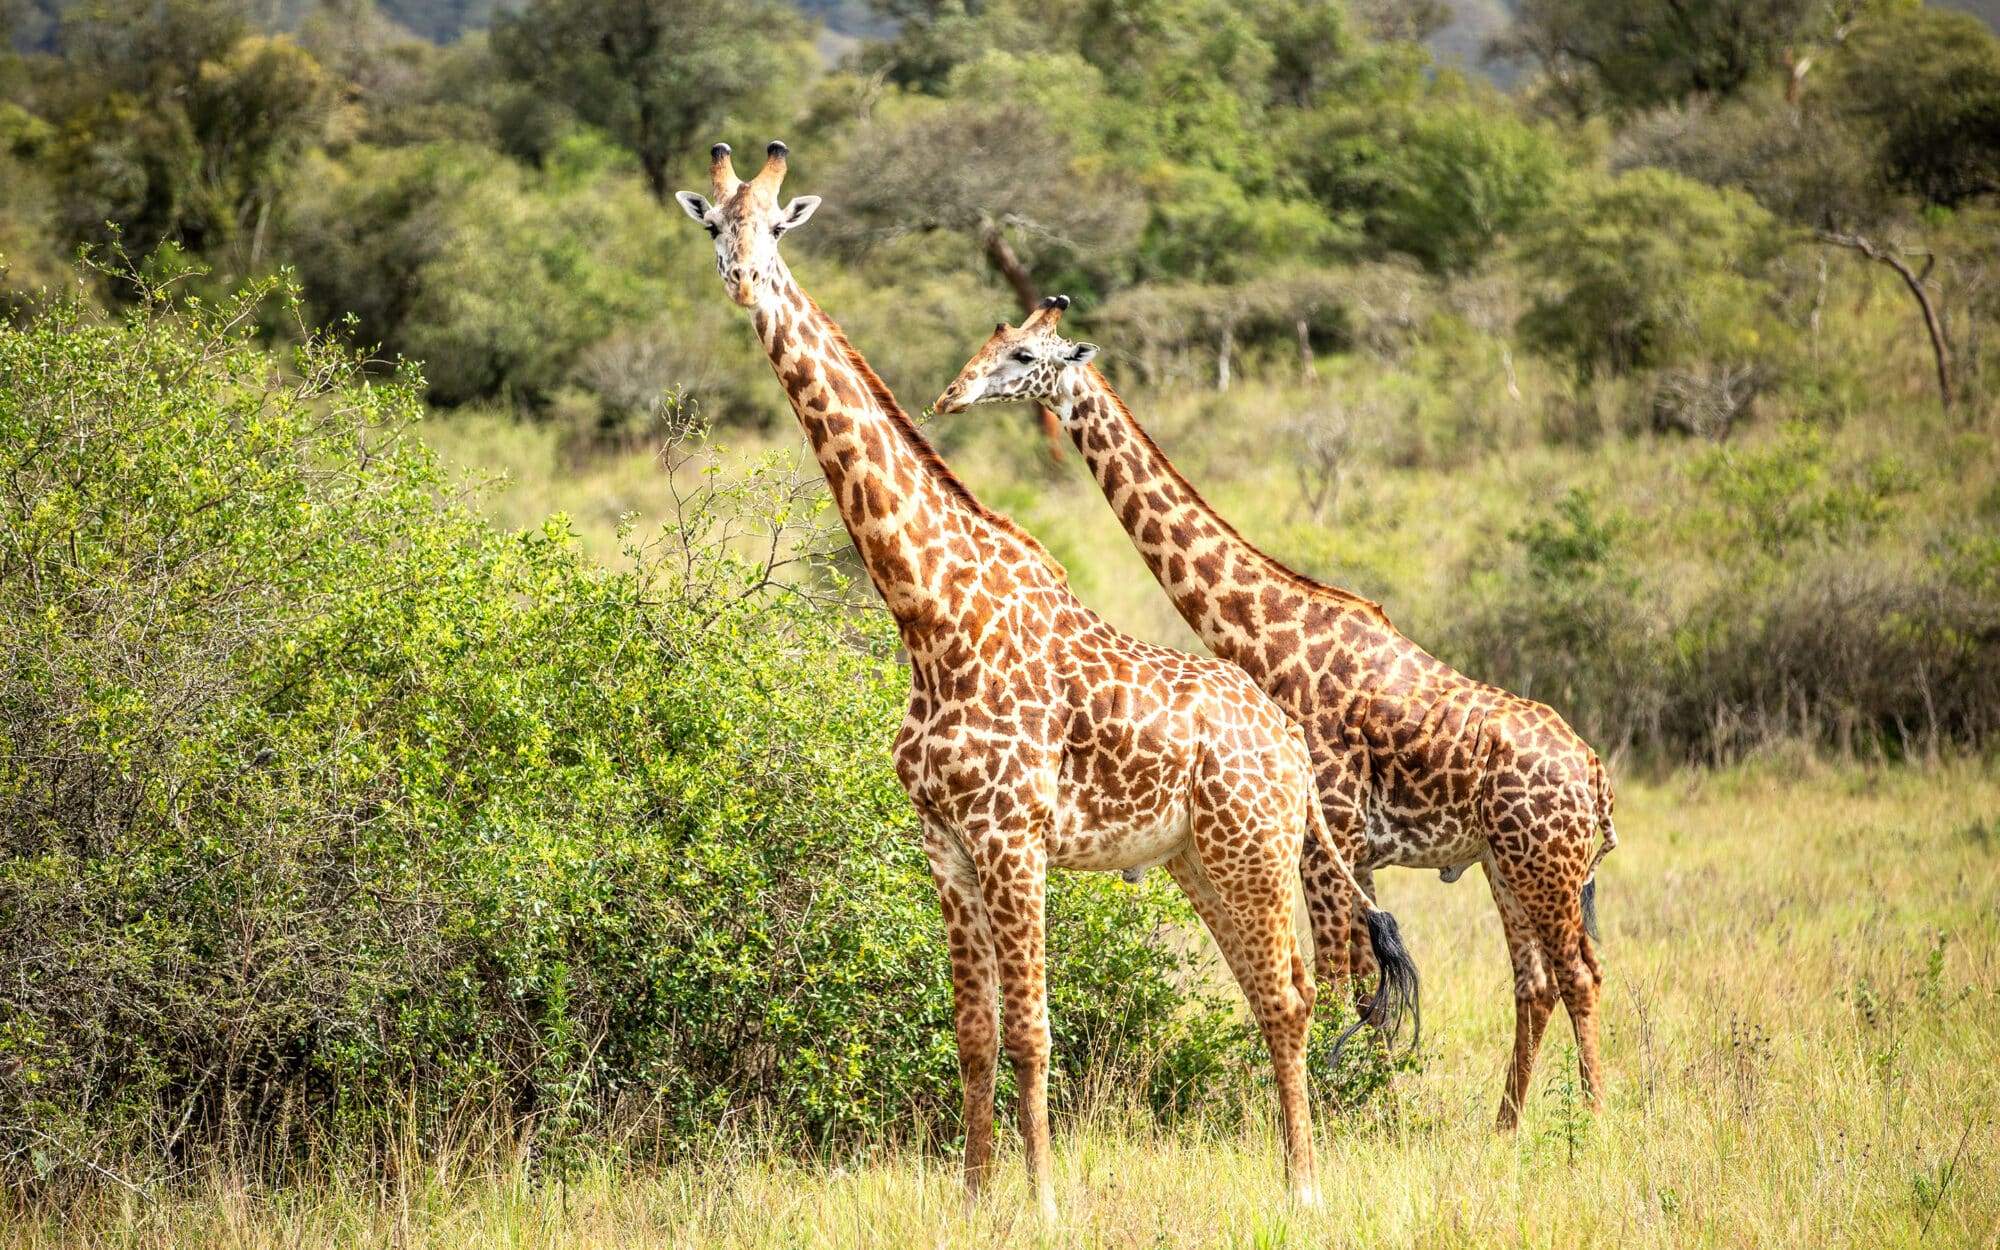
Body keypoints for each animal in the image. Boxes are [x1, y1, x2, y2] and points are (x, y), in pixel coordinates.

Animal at [674, 144, 1419, 1216]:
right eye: (712, 226)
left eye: (776, 228)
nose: (741, 280)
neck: (926, 611)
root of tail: (1283, 736)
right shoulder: (944, 843)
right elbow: (974, 1037)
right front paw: (975, 1197)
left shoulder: (1012, 839)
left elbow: (1032, 1034)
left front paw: (1041, 1200)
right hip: (1197, 860)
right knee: (1269, 991)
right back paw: (1289, 1174)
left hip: (1257, 849)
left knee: (1291, 993)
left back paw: (1304, 1191)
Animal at [933, 296, 1618, 1130]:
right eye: (992, 341)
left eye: (1024, 355)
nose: (951, 397)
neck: (1268, 633)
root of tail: (1596, 776)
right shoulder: (1350, 851)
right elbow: (1363, 987)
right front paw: (1376, 1113)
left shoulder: (1330, 840)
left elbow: (1343, 983)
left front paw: (1353, 1115)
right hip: (1507, 863)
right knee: (1536, 981)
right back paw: (1505, 1126)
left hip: (1544, 863)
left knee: (1579, 972)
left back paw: (1593, 1120)